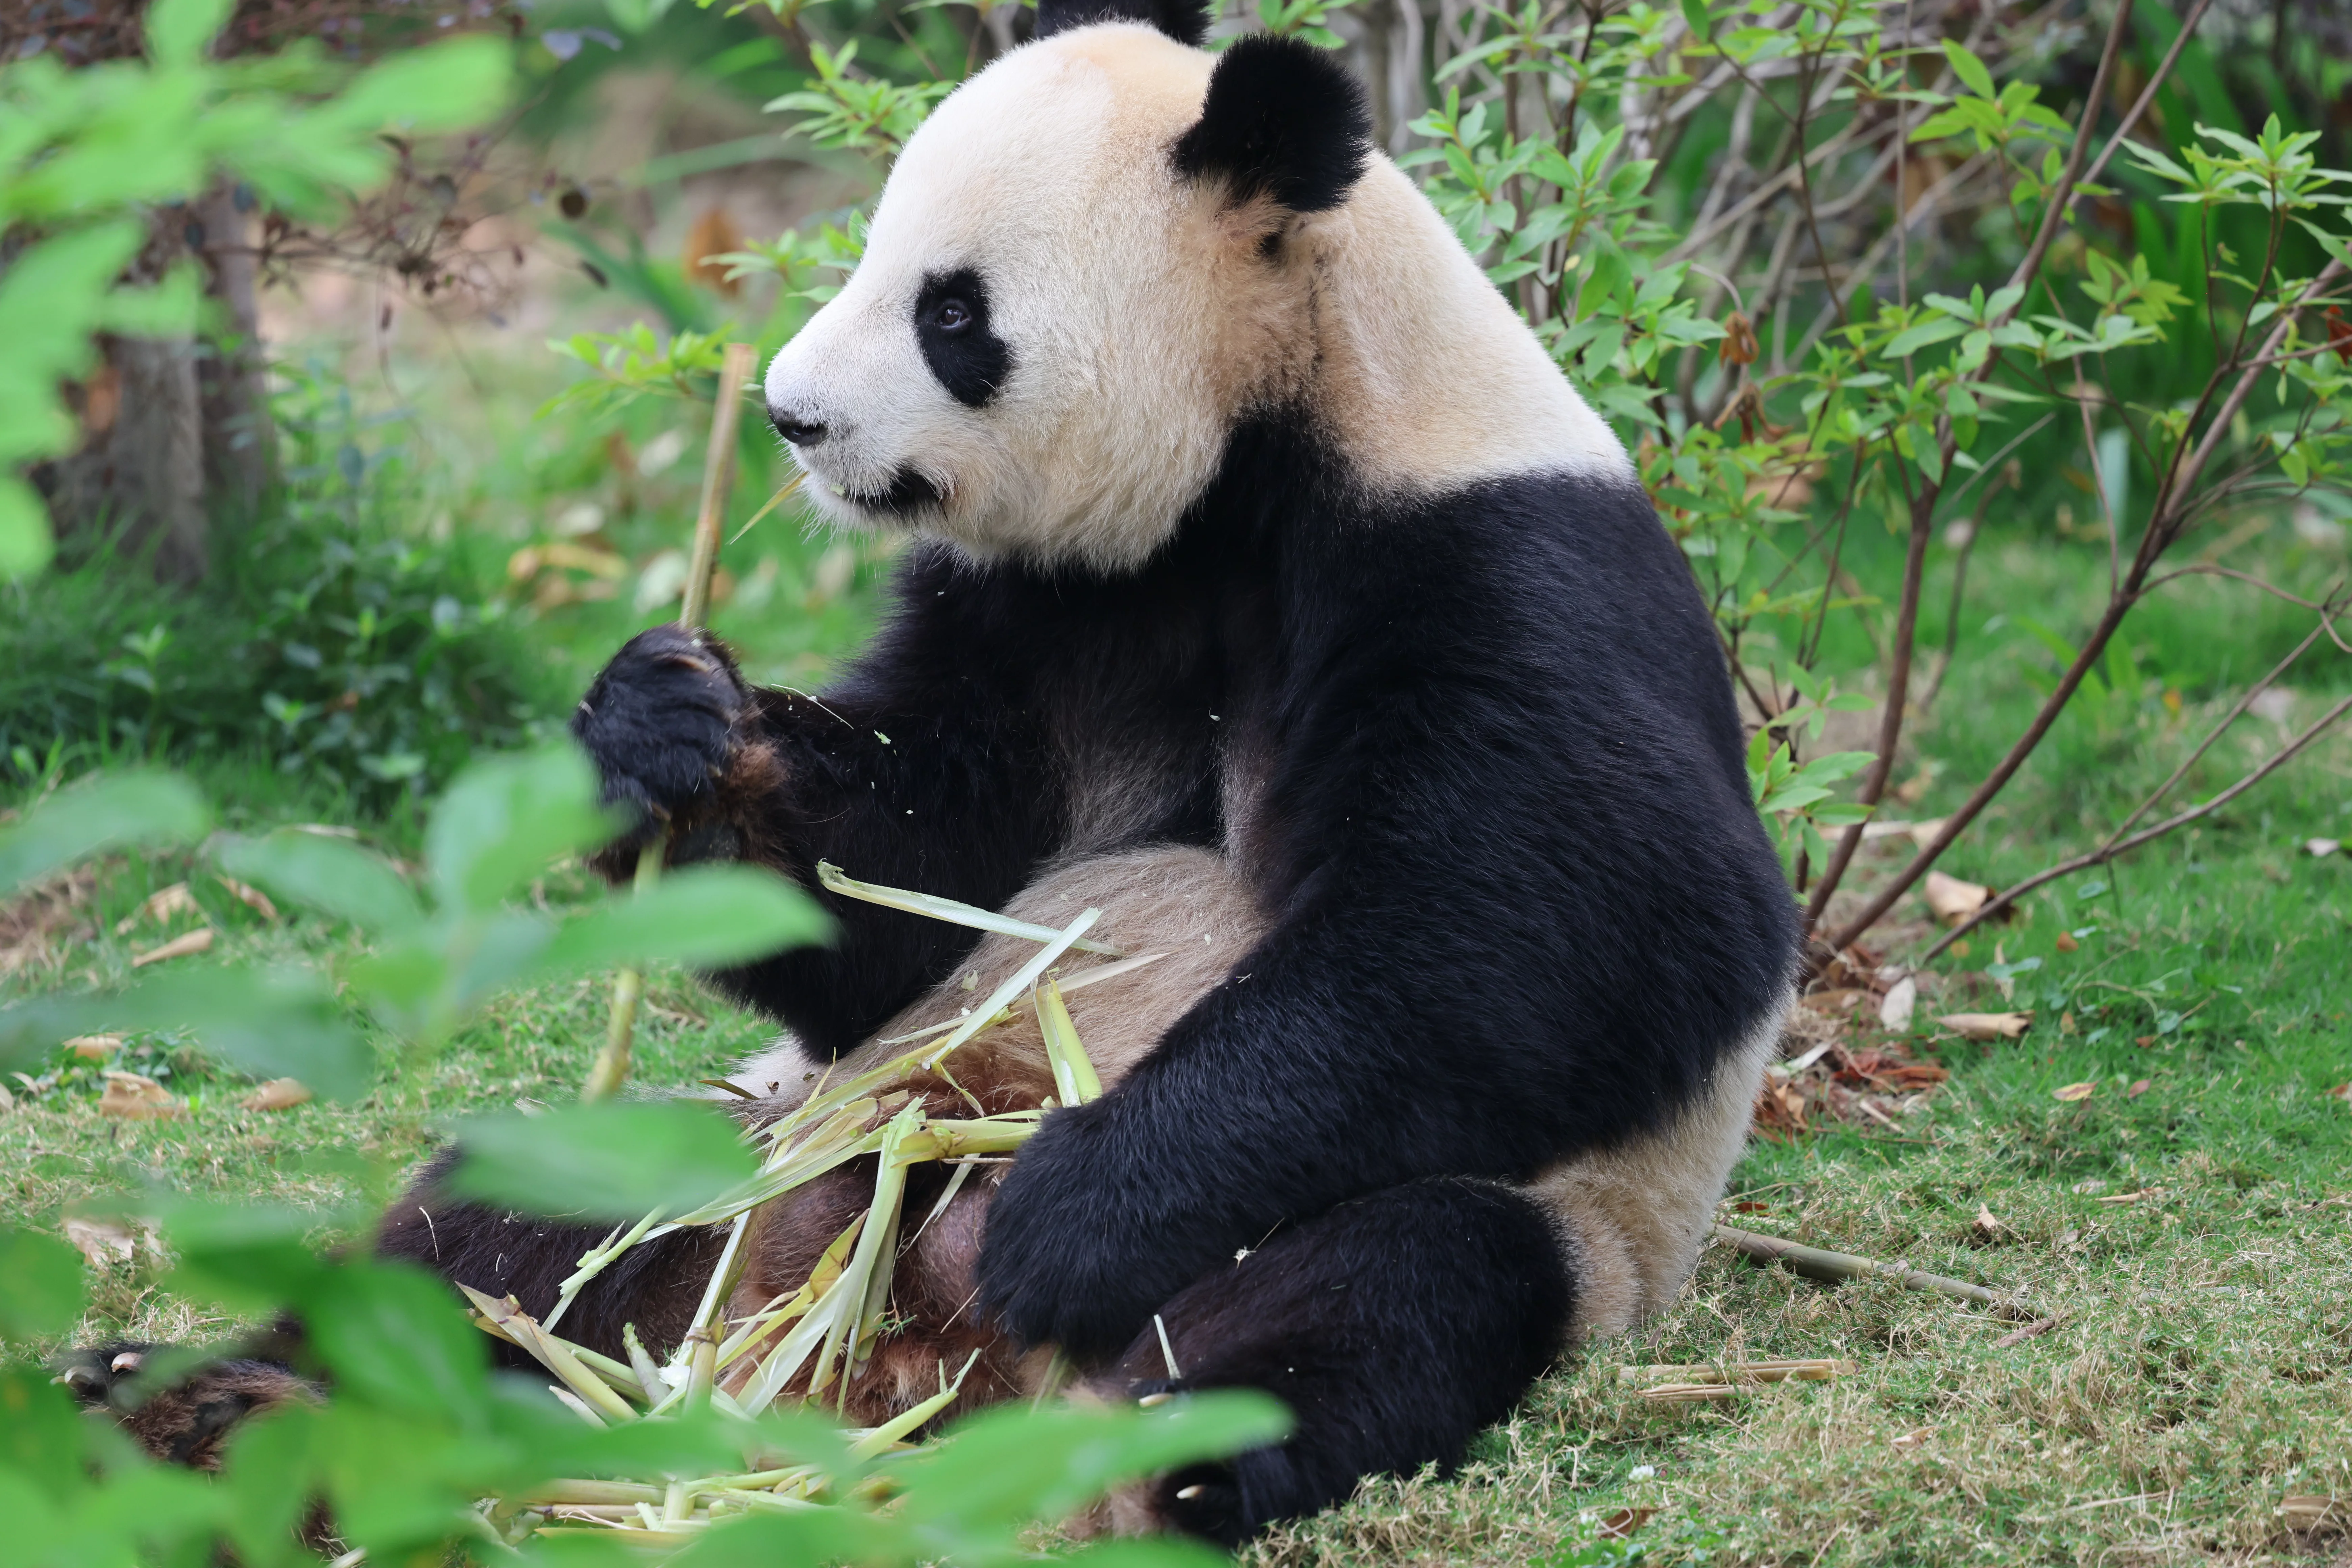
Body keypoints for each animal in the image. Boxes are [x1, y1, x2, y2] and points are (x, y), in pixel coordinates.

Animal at [78, 0, 1797, 1545]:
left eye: (951, 313)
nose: (790, 415)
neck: (1263, 428)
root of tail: (867, 1361)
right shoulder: (1056, 605)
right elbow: (911, 877)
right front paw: (670, 729)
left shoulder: (1490, 559)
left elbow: (1579, 925)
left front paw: (1078, 1204)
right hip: (742, 1153)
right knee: (505, 1224)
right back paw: (207, 1402)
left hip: (1531, 1232)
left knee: (1377, 1296)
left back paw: (1123, 1455)